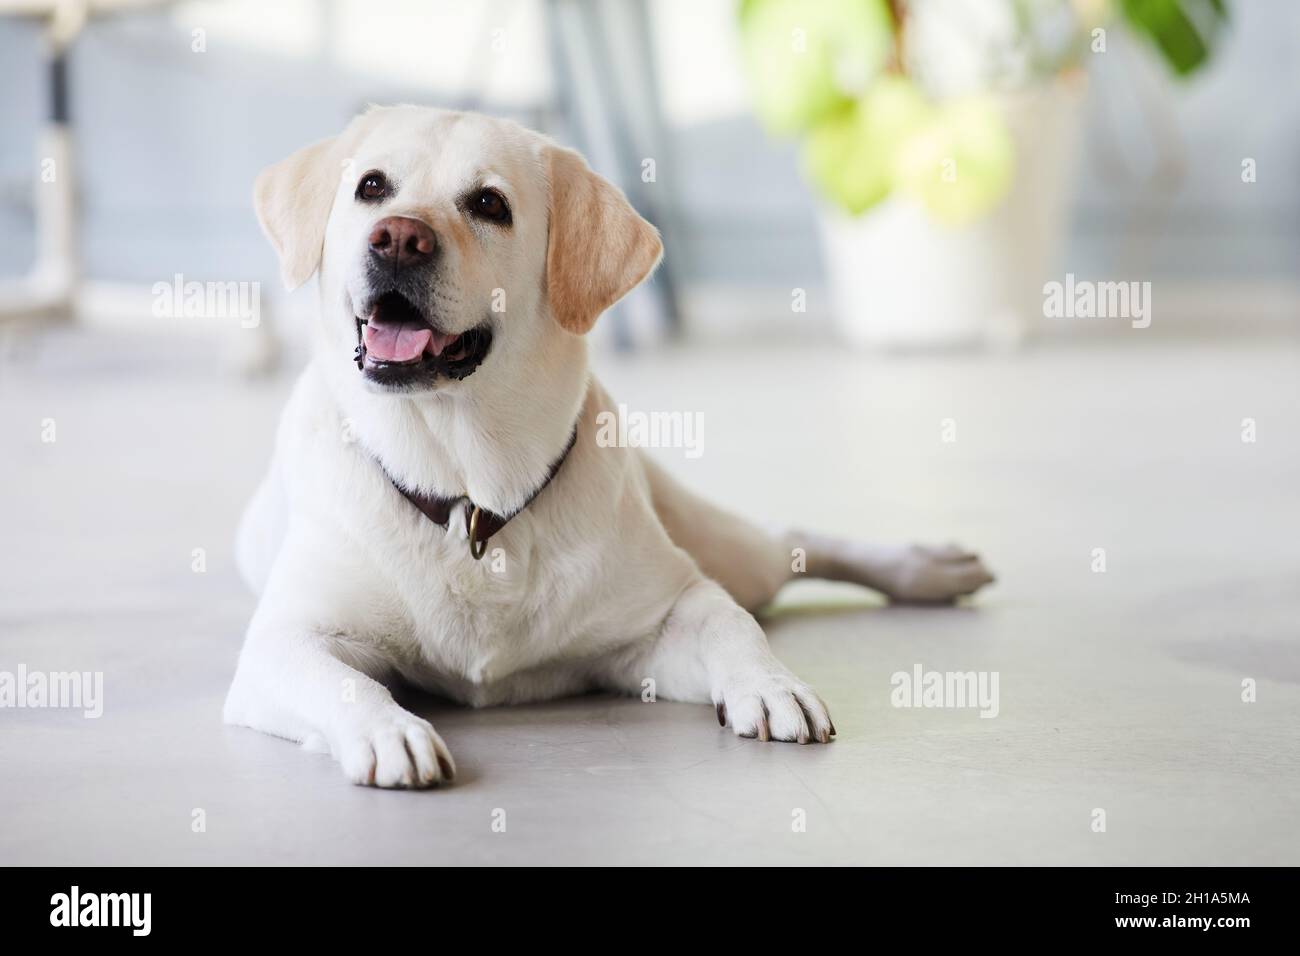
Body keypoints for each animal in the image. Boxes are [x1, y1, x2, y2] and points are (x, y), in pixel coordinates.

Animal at [223, 108, 993, 790]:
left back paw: (930, 567)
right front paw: (391, 732)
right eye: (372, 186)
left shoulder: (661, 617)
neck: (471, 496)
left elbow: (731, 623)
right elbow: (345, 684)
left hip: (729, 549)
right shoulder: (282, 644)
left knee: (790, 542)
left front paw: (774, 685)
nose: (398, 238)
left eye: (488, 204)